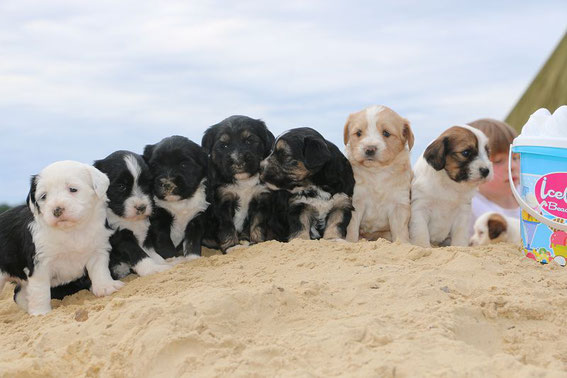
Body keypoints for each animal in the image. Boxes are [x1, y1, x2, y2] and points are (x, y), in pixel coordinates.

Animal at [0, 160, 124, 316]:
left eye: (73, 189)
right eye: (43, 196)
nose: (57, 210)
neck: (71, 231)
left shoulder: (98, 250)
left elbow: (100, 270)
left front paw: (106, 287)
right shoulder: (40, 264)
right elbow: (40, 291)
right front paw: (41, 313)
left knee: (19, 294)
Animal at [202, 113, 278, 252]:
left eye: (249, 141)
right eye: (224, 145)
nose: (238, 161)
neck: (244, 181)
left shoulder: (261, 198)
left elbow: (257, 223)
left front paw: (257, 242)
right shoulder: (222, 200)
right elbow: (227, 226)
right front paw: (231, 246)